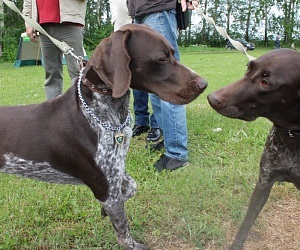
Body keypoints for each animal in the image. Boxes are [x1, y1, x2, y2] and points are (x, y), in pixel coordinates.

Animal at [0, 23, 207, 250]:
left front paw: (105, 212)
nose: (204, 84)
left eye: (172, 53)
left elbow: (130, 188)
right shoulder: (105, 187)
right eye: (162, 58)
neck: (105, 112)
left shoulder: (115, 175)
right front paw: (132, 243)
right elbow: (123, 229)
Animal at [207, 47, 300, 249]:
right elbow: (246, 223)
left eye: (265, 82)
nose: (211, 98)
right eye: (248, 68)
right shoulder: (264, 183)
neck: (294, 136)